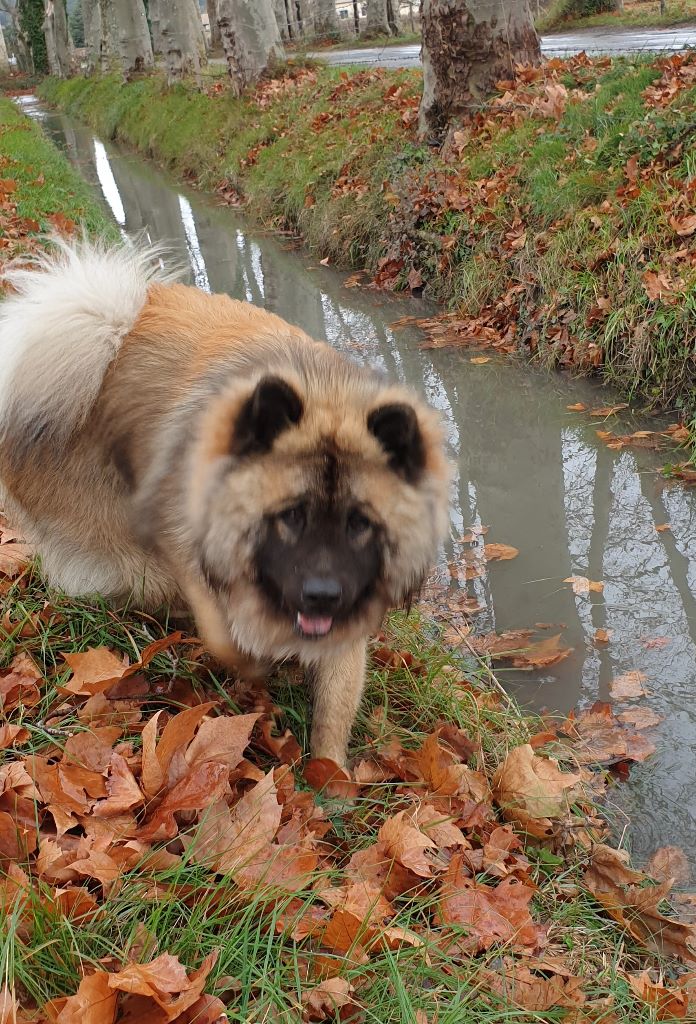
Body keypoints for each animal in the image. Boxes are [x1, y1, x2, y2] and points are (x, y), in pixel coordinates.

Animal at [0, 239, 448, 765]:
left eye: (360, 523)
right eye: (289, 516)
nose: (321, 593)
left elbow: (335, 705)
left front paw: (329, 771)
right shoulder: (189, 552)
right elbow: (227, 637)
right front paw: (256, 669)